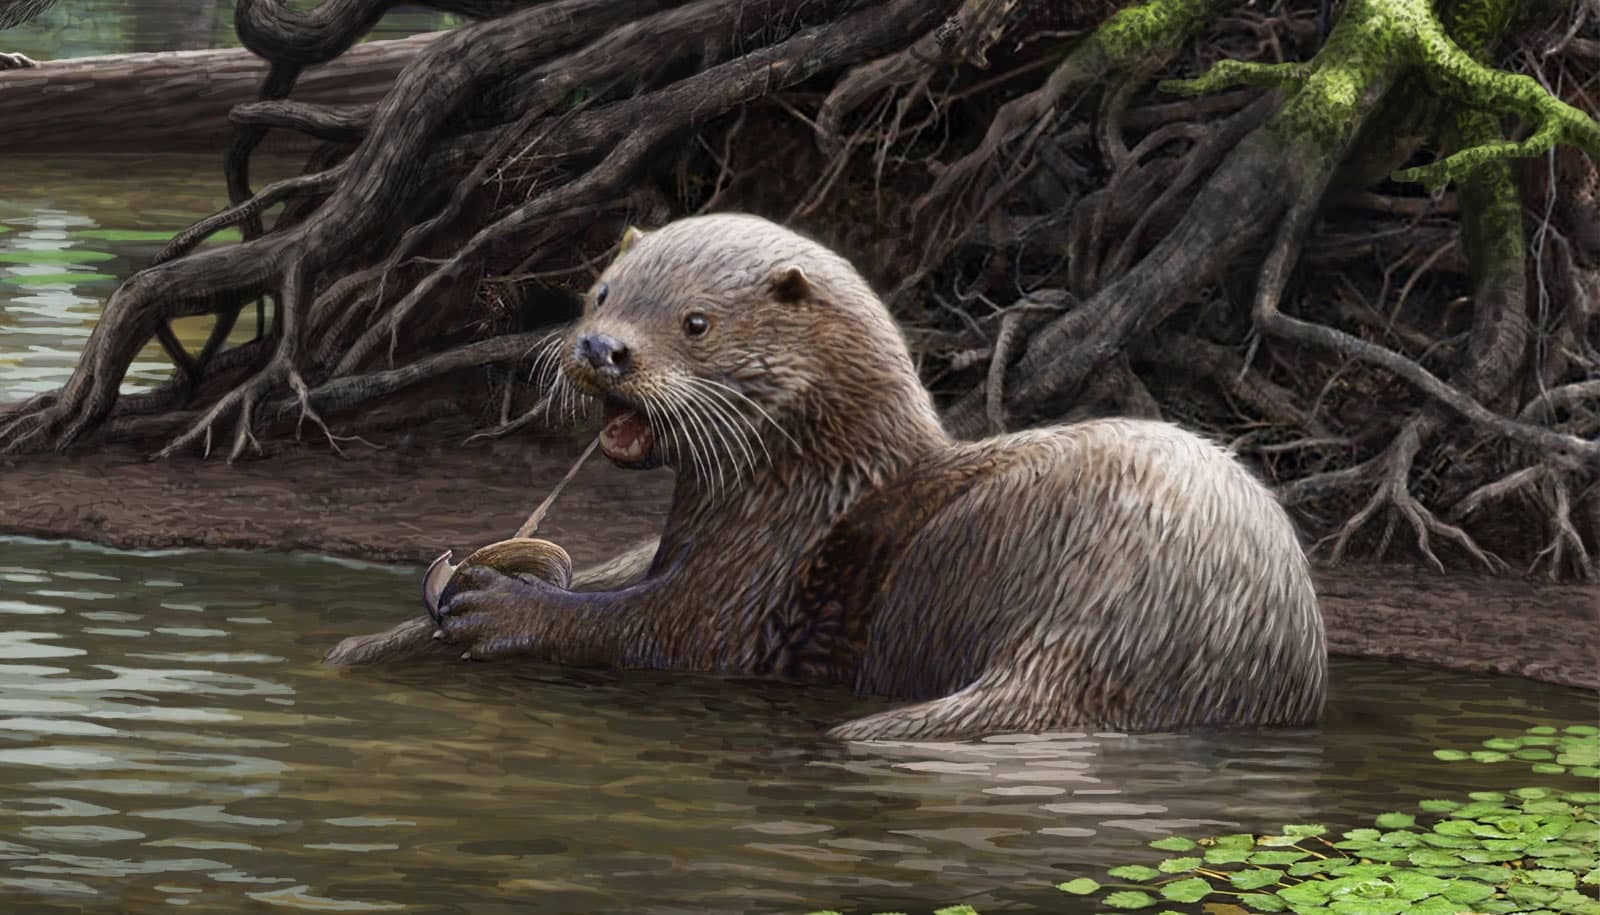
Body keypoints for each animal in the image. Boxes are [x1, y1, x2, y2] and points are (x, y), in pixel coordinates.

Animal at [334, 213, 1327, 741]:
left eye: (695, 321)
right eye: (602, 293)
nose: (600, 349)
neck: (814, 481)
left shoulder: (750, 586)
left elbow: (660, 632)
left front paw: (500, 606)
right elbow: (621, 572)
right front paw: (381, 633)